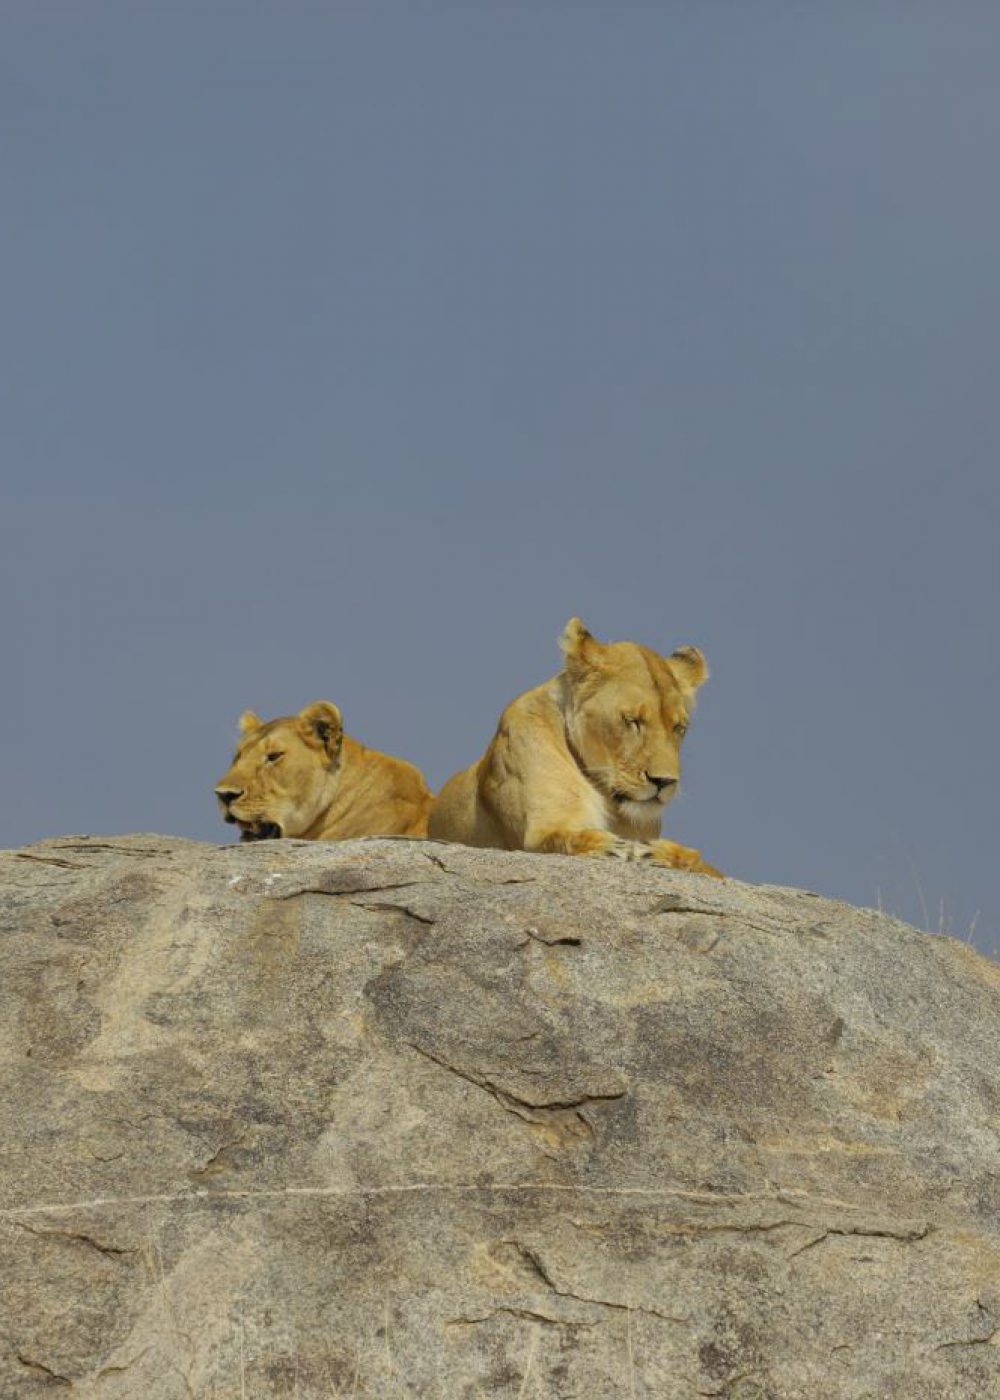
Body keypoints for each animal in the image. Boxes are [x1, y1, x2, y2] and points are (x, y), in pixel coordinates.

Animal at [425, 624, 722, 873]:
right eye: (632, 721)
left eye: (679, 727)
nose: (664, 782)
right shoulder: (539, 832)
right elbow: (566, 837)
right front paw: (614, 847)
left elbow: (700, 861)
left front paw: (659, 853)